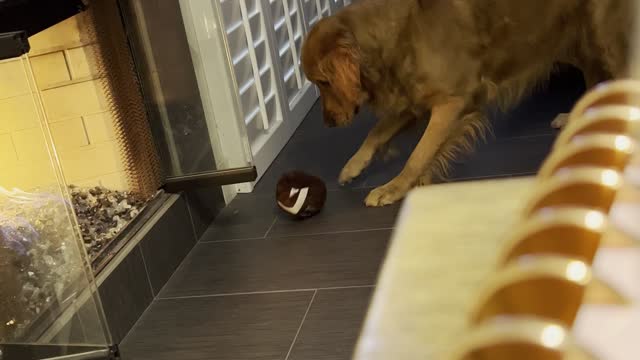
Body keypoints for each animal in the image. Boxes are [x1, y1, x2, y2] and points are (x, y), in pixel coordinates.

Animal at [302, 0, 632, 207]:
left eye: (323, 81)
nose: (328, 122)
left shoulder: (452, 102)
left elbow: (419, 154)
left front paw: (393, 188)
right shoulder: (415, 100)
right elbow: (377, 133)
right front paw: (353, 166)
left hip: (601, 37)